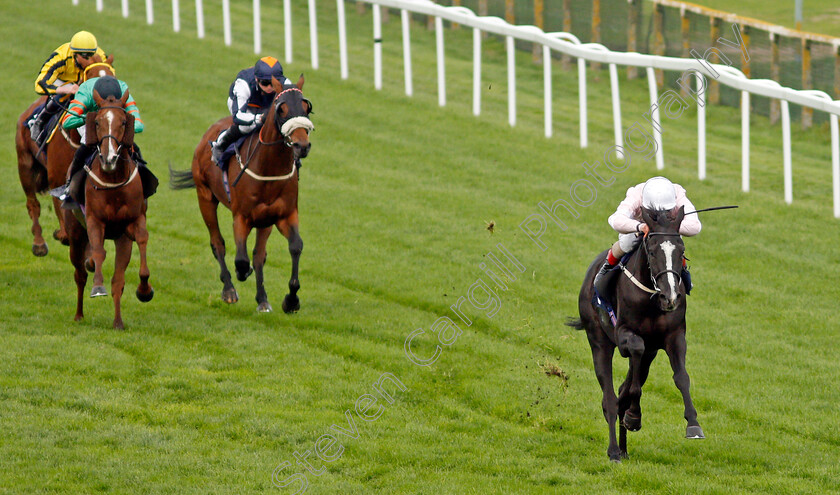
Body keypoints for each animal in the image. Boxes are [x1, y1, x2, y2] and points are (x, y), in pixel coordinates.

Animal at [14, 56, 115, 258]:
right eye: (91, 78)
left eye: (113, 78)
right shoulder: (56, 179)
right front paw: (62, 235)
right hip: (25, 163)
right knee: (33, 204)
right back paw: (39, 243)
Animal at [64, 89, 154, 330]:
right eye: (97, 122)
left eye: (124, 122)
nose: (109, 157)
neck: (113, 181)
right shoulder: (94, 221)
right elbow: (98, 252)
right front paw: (97, 287)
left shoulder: (131, 224)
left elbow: (141, 240)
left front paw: (144, 291)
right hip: (75, 233)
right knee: (79, 274)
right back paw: (78, 314)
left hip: (120, 240)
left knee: (117, 281)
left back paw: (117, 321)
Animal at [169, 75, 314, 312]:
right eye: (281, 109)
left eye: (306, 107)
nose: (302, 145)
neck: (269, 168)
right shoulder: (241, 217)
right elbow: (241, 259)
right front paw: (240, 274)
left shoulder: (284, 215)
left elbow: (294, 247)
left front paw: (291, 300)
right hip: (205, 197)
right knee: (218, 244)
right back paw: (229, 289)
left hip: (265, 220)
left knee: (259, 255)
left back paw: (262, 299)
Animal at [568, 204, 704, 462]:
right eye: (651, 251)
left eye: (681, 250)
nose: (670, 297)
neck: (651, 299)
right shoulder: (624, 335)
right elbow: (634, 362)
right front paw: (633, 414)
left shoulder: (674, 336)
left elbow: (681, 377)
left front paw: (693, 424)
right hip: (598, 341)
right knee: (610, 397)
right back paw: (614, 449)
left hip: (650, 353)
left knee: (626, 385)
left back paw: (623, 446)